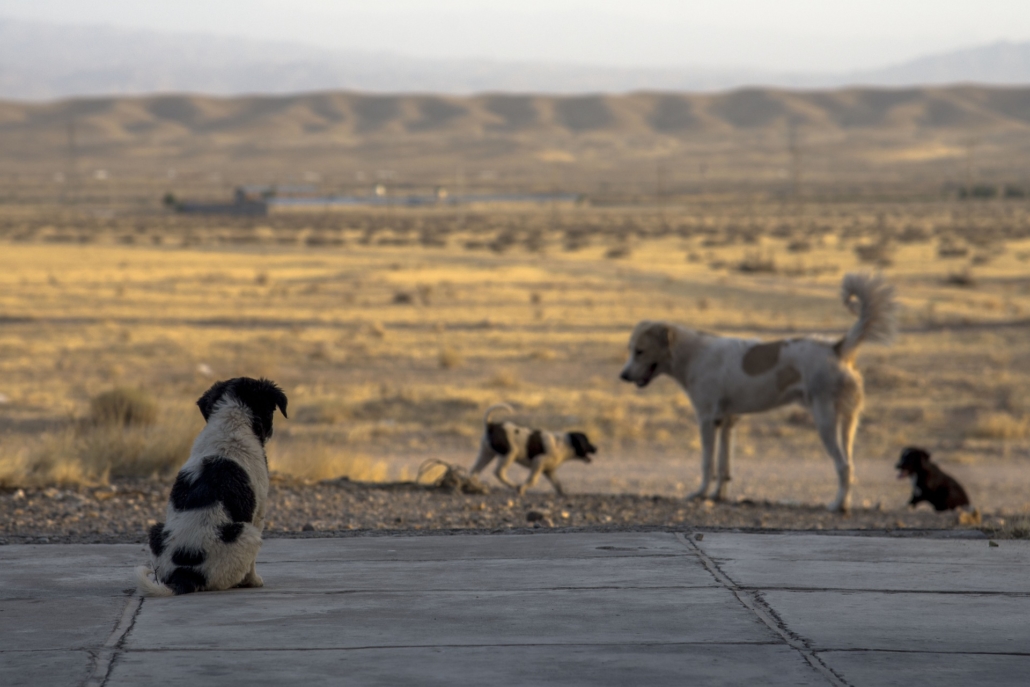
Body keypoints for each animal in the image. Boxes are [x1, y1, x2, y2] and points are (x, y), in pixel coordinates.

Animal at [134, 376, 286, 597]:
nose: (270, 432)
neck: (231, 422)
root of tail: (184, 574)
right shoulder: (259, 512)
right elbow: (252, 566)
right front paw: (254, 581)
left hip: (156, 531)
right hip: (248, 534)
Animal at [469, 403, 597, 494]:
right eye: (586, 441)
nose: (596, 448)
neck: (565, 443)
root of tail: (491, 425)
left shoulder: (549, 471)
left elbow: (558, 484)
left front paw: (563, 493)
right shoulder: (538, 462)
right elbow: (532, 480)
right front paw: (521, 489)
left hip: (486, 453)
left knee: (475, 470)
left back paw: (473, 484)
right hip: (509, 453)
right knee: (498, 472)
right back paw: (513, 485)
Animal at [618, 273, 894, 510]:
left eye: (640, 351)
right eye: (630, 349)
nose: (623, 375)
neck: (693, 354)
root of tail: (837, 348)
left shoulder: (707, 420)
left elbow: (707, 463)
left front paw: (700, 494)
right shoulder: (726, 421)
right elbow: (724, 466)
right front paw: (718, 496)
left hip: (825, 420)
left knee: (843, 466)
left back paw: (837, 506)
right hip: (848, 422)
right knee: (850, 464)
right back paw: (844, 503)